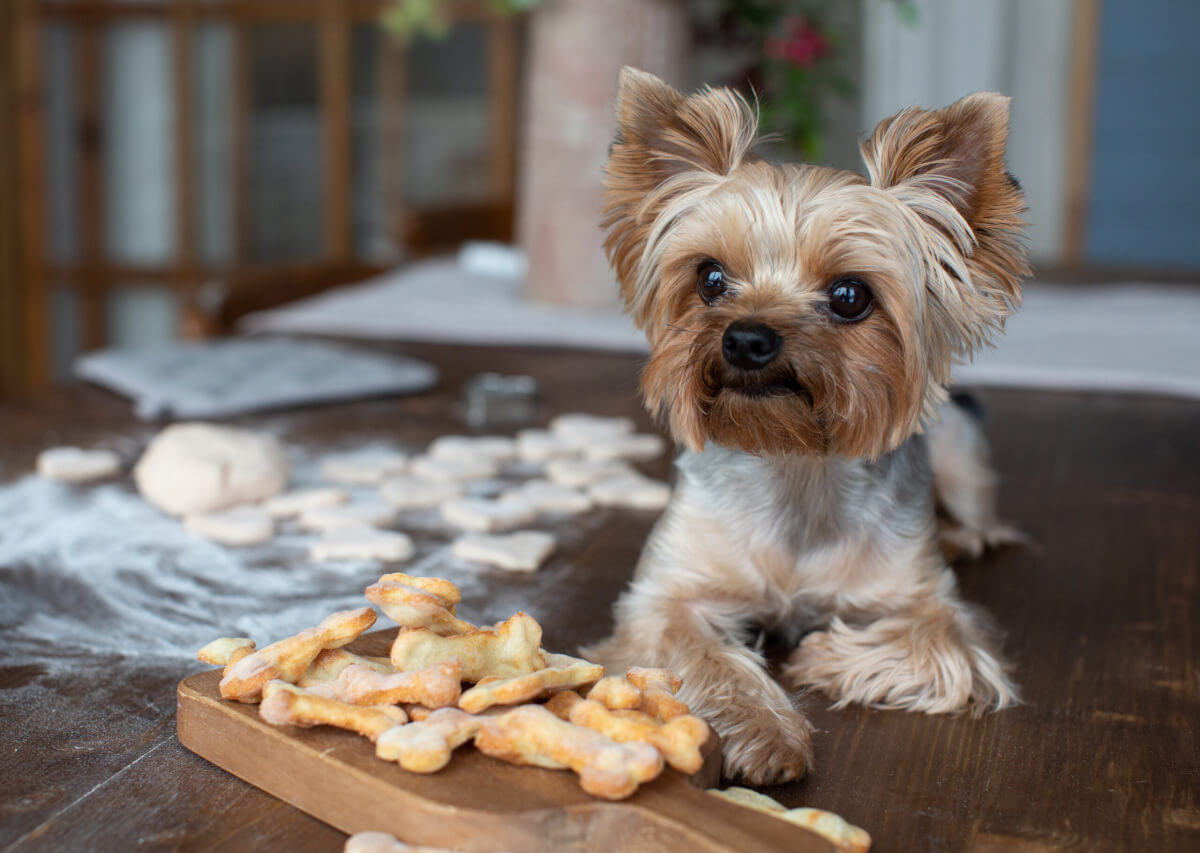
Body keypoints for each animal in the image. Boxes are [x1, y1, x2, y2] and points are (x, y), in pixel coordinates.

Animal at [585, 70, 1027, 782]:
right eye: (711, 278)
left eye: (850, 296)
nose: (746, 339)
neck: (792, 458)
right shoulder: (663, 599)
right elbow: (699, 653)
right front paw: (766, 731)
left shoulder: (931, 604)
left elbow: (941, 645)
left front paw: (819, 654)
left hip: (962, 457)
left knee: (982, 523)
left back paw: (962, 537)